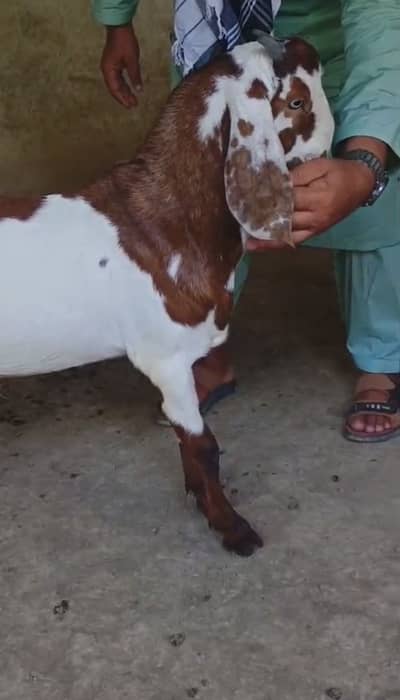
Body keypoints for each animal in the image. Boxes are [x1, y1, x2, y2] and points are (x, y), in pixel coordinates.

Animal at [0, 36, 334, 556]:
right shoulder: (165, 359)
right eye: (296, 101)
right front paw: (230, 526)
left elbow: (186, 438)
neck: (168, 219)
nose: (301, 43)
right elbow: (202, 443)